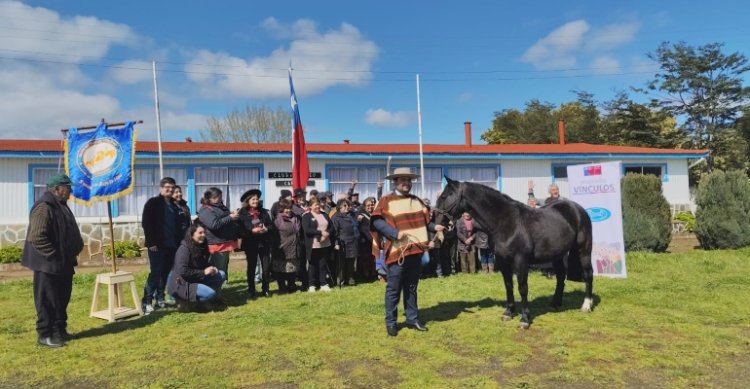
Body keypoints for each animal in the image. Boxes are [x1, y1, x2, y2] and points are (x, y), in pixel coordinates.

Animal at [432, 178, 596, 328]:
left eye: (445, 196)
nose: (436, 222)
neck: (506, 222)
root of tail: (577, 209)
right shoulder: (503, 261)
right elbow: (508, 285)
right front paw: (509, 313)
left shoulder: (520, 260)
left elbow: (522, 288)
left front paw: (525, 319)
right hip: (557, 254)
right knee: (561, 276)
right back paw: (555, 303)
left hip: (584, 249)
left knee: (588, 273)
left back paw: (586, 305)